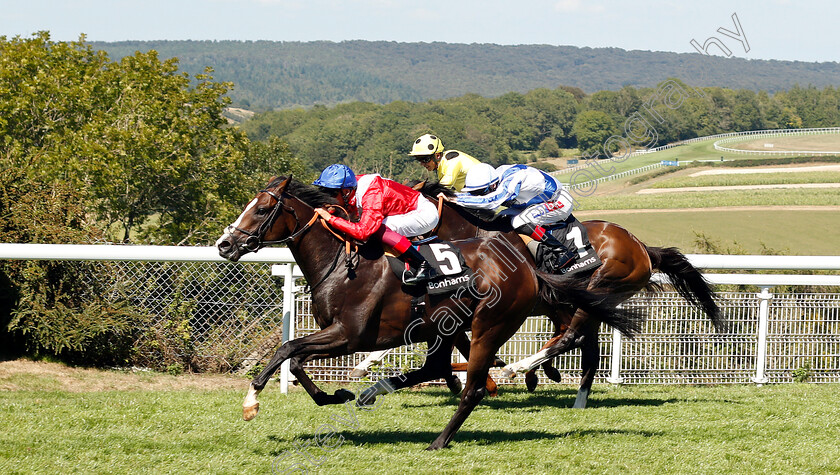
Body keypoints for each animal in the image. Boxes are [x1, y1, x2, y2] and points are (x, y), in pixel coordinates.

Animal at [217, 178, 644, 450]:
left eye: (263, 209)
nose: (224, 244)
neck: (341, 262)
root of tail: (527, 267)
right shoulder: (340, 334)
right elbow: (294, 357)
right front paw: (335, 395)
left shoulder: (349, 334)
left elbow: (287, 349)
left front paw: (251, 402)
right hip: (445, 328)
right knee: (439, 366)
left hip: (492, 324)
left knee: (478, 383)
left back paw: (446, 433)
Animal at [420, 183, 728, 410]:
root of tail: (643, 248)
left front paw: (483, 377)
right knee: (588, 350)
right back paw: (575, 399)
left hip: (601, 286)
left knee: (572, 338)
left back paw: (518, 368)